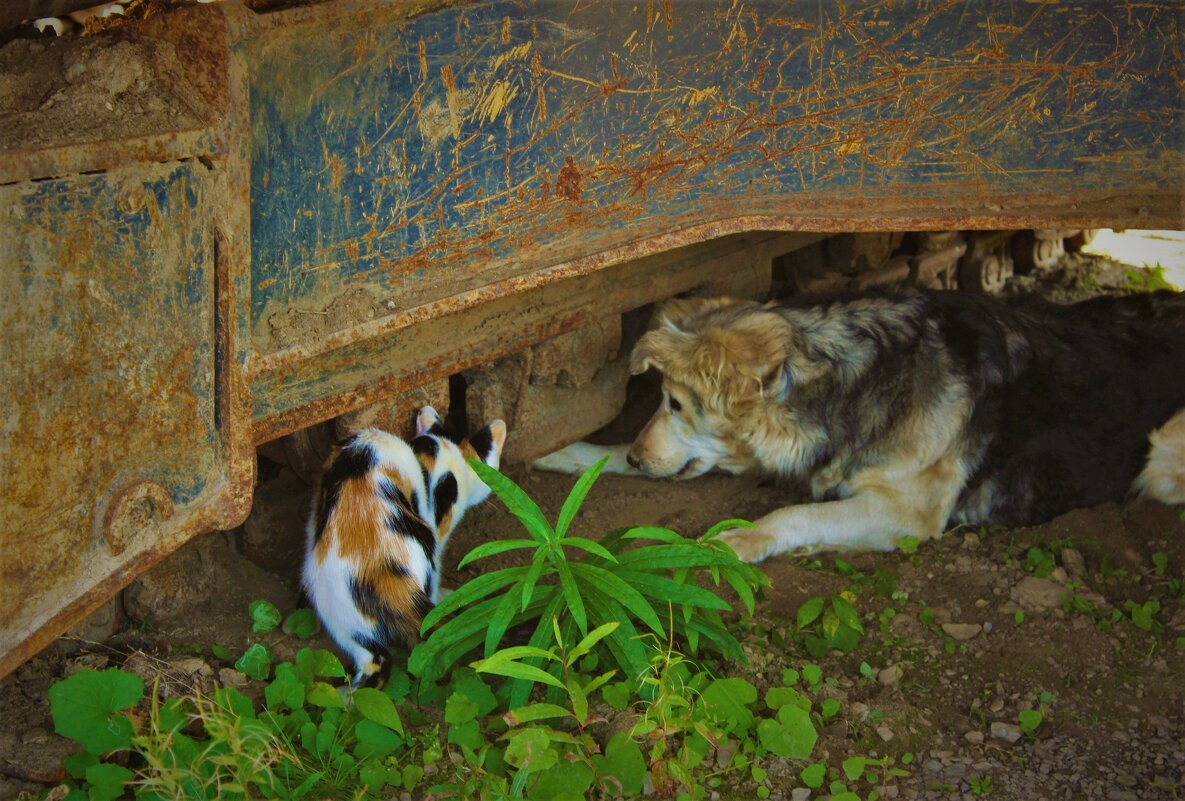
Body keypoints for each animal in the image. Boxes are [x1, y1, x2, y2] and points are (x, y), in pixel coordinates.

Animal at [537, 289, 1185, 564]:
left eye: (675, 403)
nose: (640, 461)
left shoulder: (908, 511)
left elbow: (792, 512)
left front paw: (735, 541)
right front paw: (570, 454)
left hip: (1164, 450)